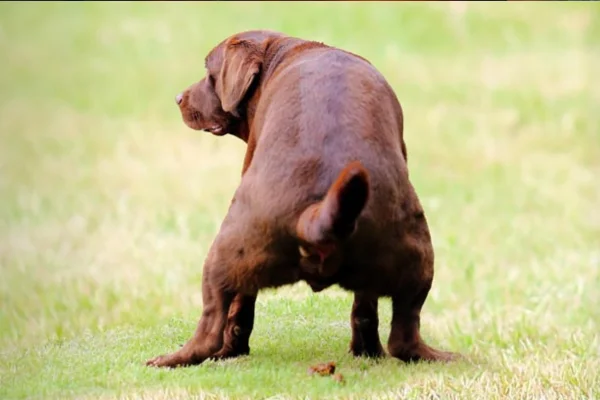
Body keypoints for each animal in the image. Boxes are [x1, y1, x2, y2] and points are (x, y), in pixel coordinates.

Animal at [148, 30, 452, 368]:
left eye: (209, 73)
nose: (178, 97)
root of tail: (315, 217)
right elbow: (365, 309)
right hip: (417, 260)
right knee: (399, 332)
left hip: (220, 254)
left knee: (211, 326)